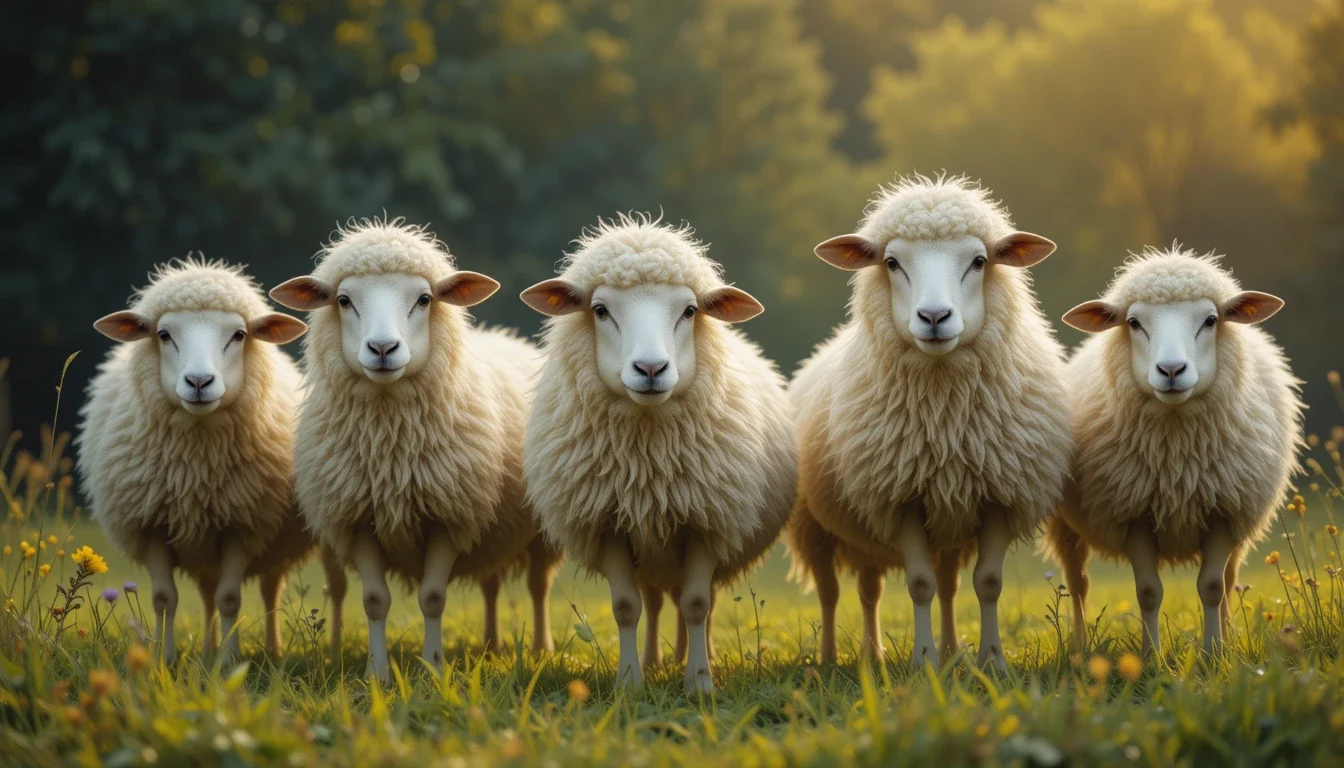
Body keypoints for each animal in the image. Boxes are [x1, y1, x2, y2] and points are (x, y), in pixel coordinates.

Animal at [76, 258, 344, 663]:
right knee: (207, 595)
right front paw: (166, 660)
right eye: (163, 334)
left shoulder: (243, 525)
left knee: (276, 590)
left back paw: (279, 650)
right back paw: (207, 648)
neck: (196, 468)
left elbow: (230, 599)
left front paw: (230, 662)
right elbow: (164, 599)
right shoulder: (151, 525)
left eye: (239, 335)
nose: (199, 382)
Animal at [269, 218, 561, 681]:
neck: (392, 447)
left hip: (538, 536)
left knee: (538, 587)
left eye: (424, 299)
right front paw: (377, 674)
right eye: (344, 300)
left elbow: (432, 598)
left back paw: (540, 649)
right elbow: (374, 601)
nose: (383, 349)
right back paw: (490, 643)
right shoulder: (355, 519)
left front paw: (433, 669)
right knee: (489, 585)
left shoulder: (450, 515)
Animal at [519, 215, 795, 693]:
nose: (651, 369)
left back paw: (695, 656)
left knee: (694, 599)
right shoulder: (608, 523)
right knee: (652, 599)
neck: (647, 460)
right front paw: (629, 683)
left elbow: (698, 603)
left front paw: (700, 682)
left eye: (690, 311)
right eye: (600, 310)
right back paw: (653, 661)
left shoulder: (706, 521)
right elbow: (626, 607)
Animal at [785, 175, 1071, 672]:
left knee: (904, 588)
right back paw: (835, 659)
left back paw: (935, 651)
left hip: (937, 528)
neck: (944, 419)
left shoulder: (999, 495)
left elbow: (987, 583)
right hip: (814, 529)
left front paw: (992, 661)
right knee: (833, 592)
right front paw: (923, 662)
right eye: (892, 262)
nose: (934, 317)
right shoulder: (900, 497)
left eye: (979, 261)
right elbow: (920, 585)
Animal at [1049, 245, 1304, 655]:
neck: (1177, 459)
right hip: (1063, 525)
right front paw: (1152, 656)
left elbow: (1213, 587)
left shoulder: (1224, 512)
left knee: (1229, 579)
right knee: (1077, 584)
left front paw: (1215, 652)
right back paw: (1079, 648)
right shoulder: (1134, 514)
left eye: (1211, 320)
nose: (1171, 370)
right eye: (1133, 322)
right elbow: (1148, 592)